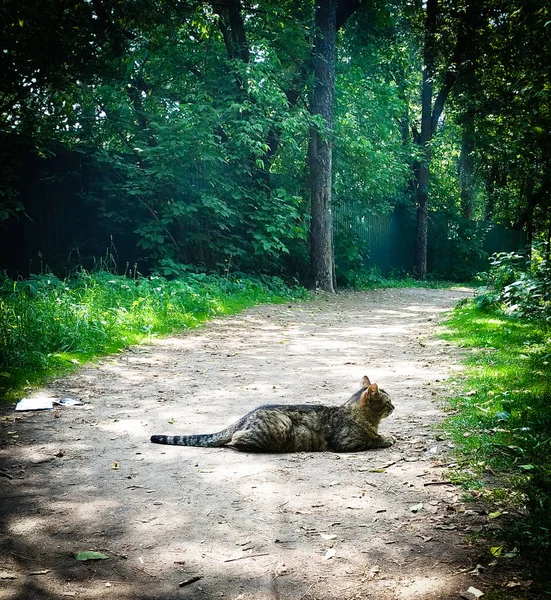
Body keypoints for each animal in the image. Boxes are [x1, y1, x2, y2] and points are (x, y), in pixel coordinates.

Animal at [149, 376, 394, 454]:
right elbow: (372, 440)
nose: (395, 406)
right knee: (235, 441)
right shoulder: (346, 443)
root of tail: (244, 416)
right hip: (280, 426)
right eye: (388, 401)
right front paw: (386, 438)